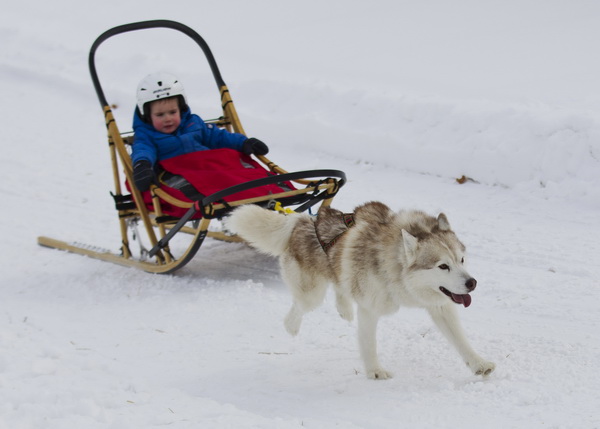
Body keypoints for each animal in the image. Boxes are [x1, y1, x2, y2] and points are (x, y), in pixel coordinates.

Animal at [223, 201, 494, 378]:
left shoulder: (441, 305)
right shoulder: (370, 309)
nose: (472, 283)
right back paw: (292, 326)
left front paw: (478, 364)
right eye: (442, 266)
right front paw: (375, 371)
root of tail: (303, 220)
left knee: (339, 285)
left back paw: (344, 308)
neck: (395, 269)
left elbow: (460, 340)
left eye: (461, 260)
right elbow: (369, 344)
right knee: (299, 306)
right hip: (312, 295)